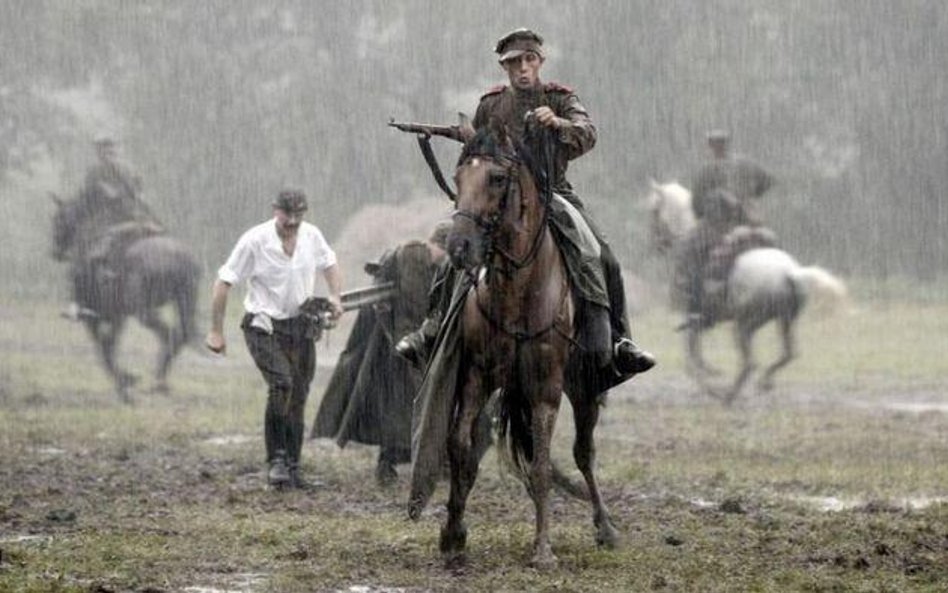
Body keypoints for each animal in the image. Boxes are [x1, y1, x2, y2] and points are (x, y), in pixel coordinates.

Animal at [50, 197, 200, 400]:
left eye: (58, 219)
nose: (55, 251)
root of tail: (178, 258)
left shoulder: (96, 318)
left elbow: (103, 349)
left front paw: (125, 383)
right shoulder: (117, 317)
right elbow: (109, 345)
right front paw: (126, 381)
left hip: (144, 312)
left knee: (168, 333)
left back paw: (158, 380)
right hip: (184, 302)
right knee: (180, 334)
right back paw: (160, 380)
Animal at [440, 126, 620, 568]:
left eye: (496, 179)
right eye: (458, 178)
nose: (459, 247)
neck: (517, 289)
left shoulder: (545, 388)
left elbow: (540, 466)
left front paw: (542, 550)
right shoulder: (478, 377)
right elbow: (460, 448)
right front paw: (453, 533)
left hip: (584, 388)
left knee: (583, 452)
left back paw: (606, 527)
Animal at [644, 180, 844, 402]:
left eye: (653, 210)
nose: (657, 243)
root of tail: (790, 273)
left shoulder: (692, 317)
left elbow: (692, 357)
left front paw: (709, 383)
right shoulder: (698, 321)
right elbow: (694, 353)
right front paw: (710, 377)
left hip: (745, 325)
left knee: (750, 363)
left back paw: (728, 395)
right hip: (784, 321)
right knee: (788, 354)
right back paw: (762, 383)